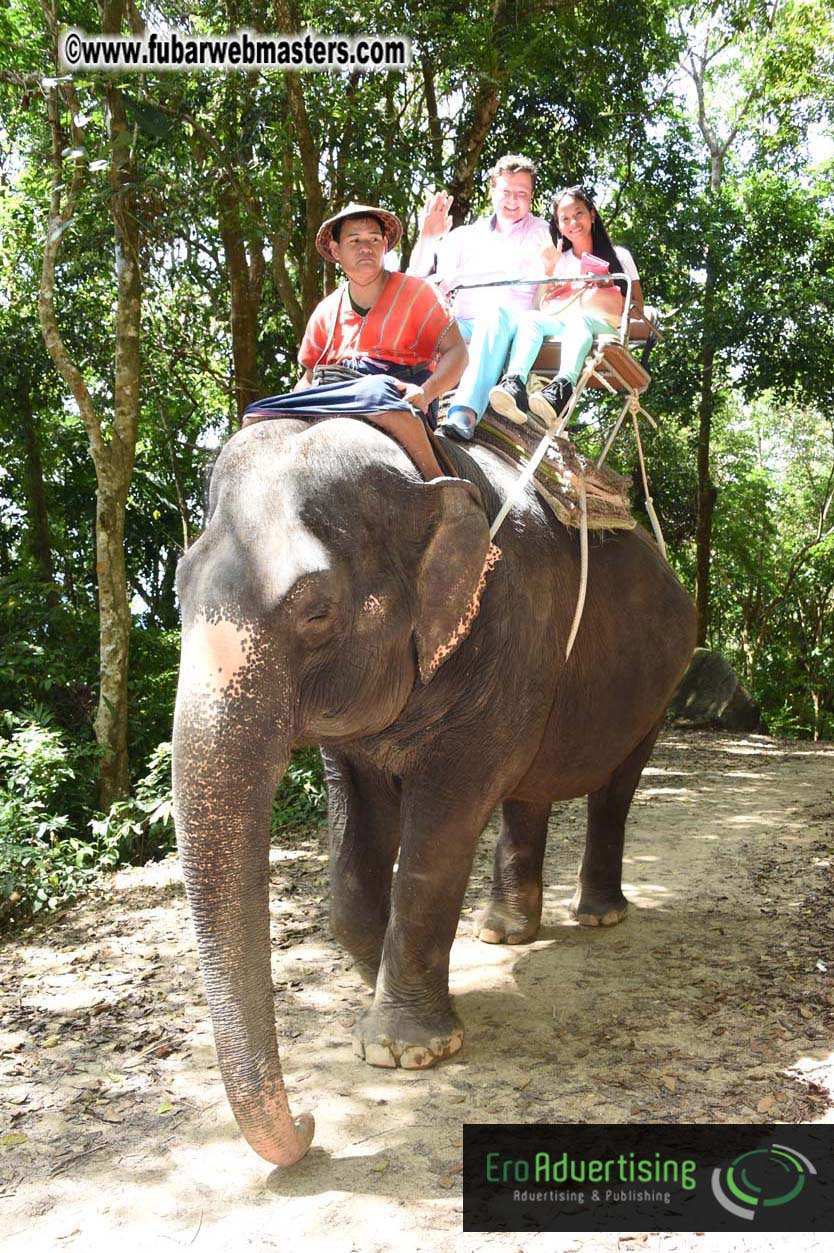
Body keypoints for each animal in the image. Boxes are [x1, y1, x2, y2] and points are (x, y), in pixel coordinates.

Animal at [172, 415, 696, 1168]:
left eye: (316, 611)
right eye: (178, 591)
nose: (309, 1123)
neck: (422, 473)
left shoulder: (508, 628)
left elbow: (442, 825)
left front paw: (405, 1049)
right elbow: (357, 833)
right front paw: (376, 984)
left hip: (662, 681)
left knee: (615, 787)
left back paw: (598, 916)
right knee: (529, 790)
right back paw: (503, 932)